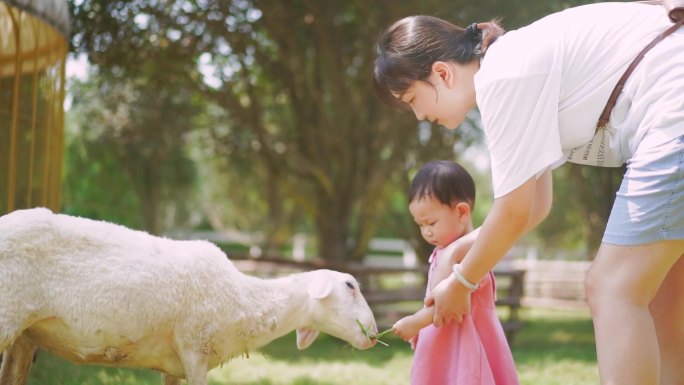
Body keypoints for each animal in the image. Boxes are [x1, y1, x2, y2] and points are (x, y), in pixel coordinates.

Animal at [0, 208, 376, 384]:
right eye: (350, 286)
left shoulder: (174, 364)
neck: (242, 299)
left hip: (24, 335)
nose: (373, 333)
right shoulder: (195, 348)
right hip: (6, 316)